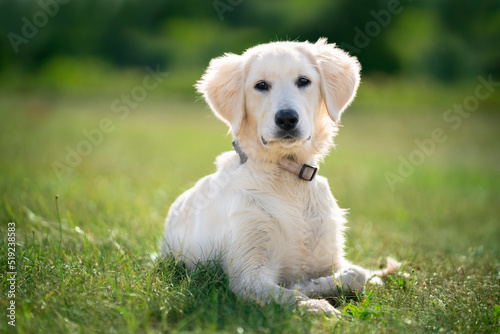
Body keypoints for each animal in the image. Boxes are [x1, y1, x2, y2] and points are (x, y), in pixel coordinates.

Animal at [162, 38, 400, 316]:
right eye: (261, 85)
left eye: (304, 81)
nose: (287, 118)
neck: (287, 178)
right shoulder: (248, 273)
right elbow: (288, 296)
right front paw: (316, 304)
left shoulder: (331, 256)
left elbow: (357, 275)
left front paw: (314, 285)